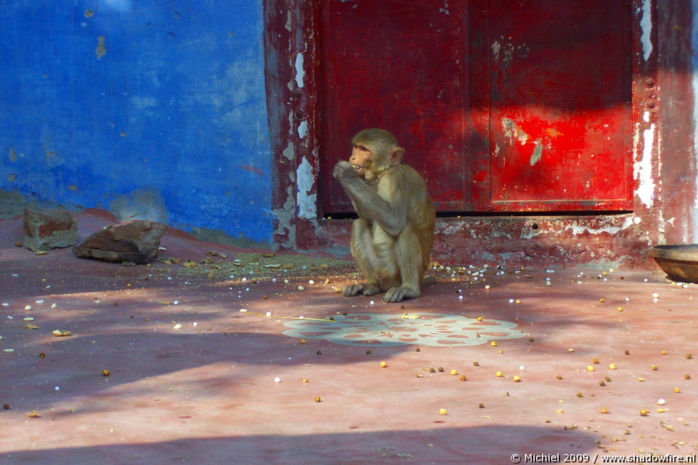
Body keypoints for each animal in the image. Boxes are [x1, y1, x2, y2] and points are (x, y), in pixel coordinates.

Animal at [334, 128, 436, 300]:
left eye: (364, 150)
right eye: (356, 147)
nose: (352, 157)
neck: (384, 171)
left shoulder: (395, 178)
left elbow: (393, 221)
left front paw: (347, 175)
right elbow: (369, 217)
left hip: (398, 274)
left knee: (405, 229)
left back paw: (409, 289)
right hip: (379, 270)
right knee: (359, 224)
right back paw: (372, 285)